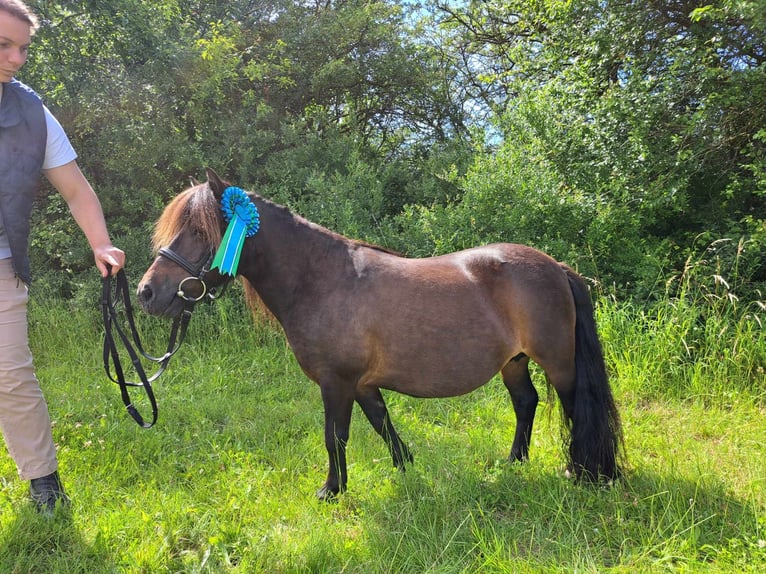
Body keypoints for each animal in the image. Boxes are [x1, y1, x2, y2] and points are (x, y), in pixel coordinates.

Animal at [140, 168, 624, 500]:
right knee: (526, 403)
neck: (322, 280)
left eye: (199, 230)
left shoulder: (336, 382)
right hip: (514, 362)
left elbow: (335, 435)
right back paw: (513, 464)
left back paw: (585, 472)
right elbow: (382, 423)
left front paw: (331, 489)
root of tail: (556, 267)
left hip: (558, 363)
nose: (147, 293)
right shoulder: (362, 384)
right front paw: (406, 467)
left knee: (575, 408)